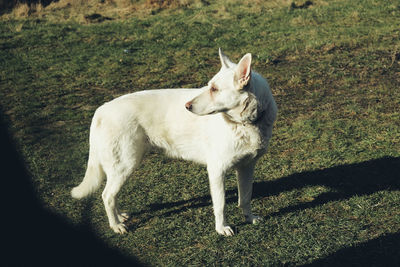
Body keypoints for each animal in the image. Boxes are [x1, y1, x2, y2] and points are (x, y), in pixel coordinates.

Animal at [72, 49, 276, 237]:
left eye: (214, 89)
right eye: (209, 86)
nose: (187, 106)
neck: (246, 123)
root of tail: (101, 110)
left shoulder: (247, 167)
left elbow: (246, 198)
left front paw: (249, 218)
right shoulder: (217, 170)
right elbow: (221, 204)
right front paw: (221, 228)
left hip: (121, 168)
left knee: (112, 195)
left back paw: (119, 216)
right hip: (125, 165)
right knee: (107, 195)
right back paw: (115, 225)